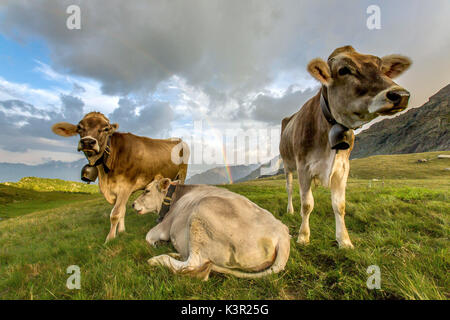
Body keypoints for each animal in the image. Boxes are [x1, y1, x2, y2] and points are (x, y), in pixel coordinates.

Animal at [51, 112, 189, 242]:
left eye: (106, 128)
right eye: (79, 127)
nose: (88, 142)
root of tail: (177, 139)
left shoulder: (125, 186)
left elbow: (116, 214)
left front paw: (110, 239)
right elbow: (122, 210)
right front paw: (121, 232)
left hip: (182, 174)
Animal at [132, 175, 290, 280]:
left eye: (146, 191)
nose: (133, 204)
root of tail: (282, 233)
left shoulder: (165, 225)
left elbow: (148, 236)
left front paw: (158, 243)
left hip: (201, 211)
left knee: (194, 264)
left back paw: (157, 259)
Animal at [282, 46, 412, 249]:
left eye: (382, 68)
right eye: (344, 70)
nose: (401, 95)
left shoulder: (342, 168)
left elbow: (339, 205)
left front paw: (344, 240)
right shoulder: (304, 166)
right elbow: (307, 204)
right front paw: (303, 236)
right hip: (288, 165)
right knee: (289, 188)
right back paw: (290, 210)